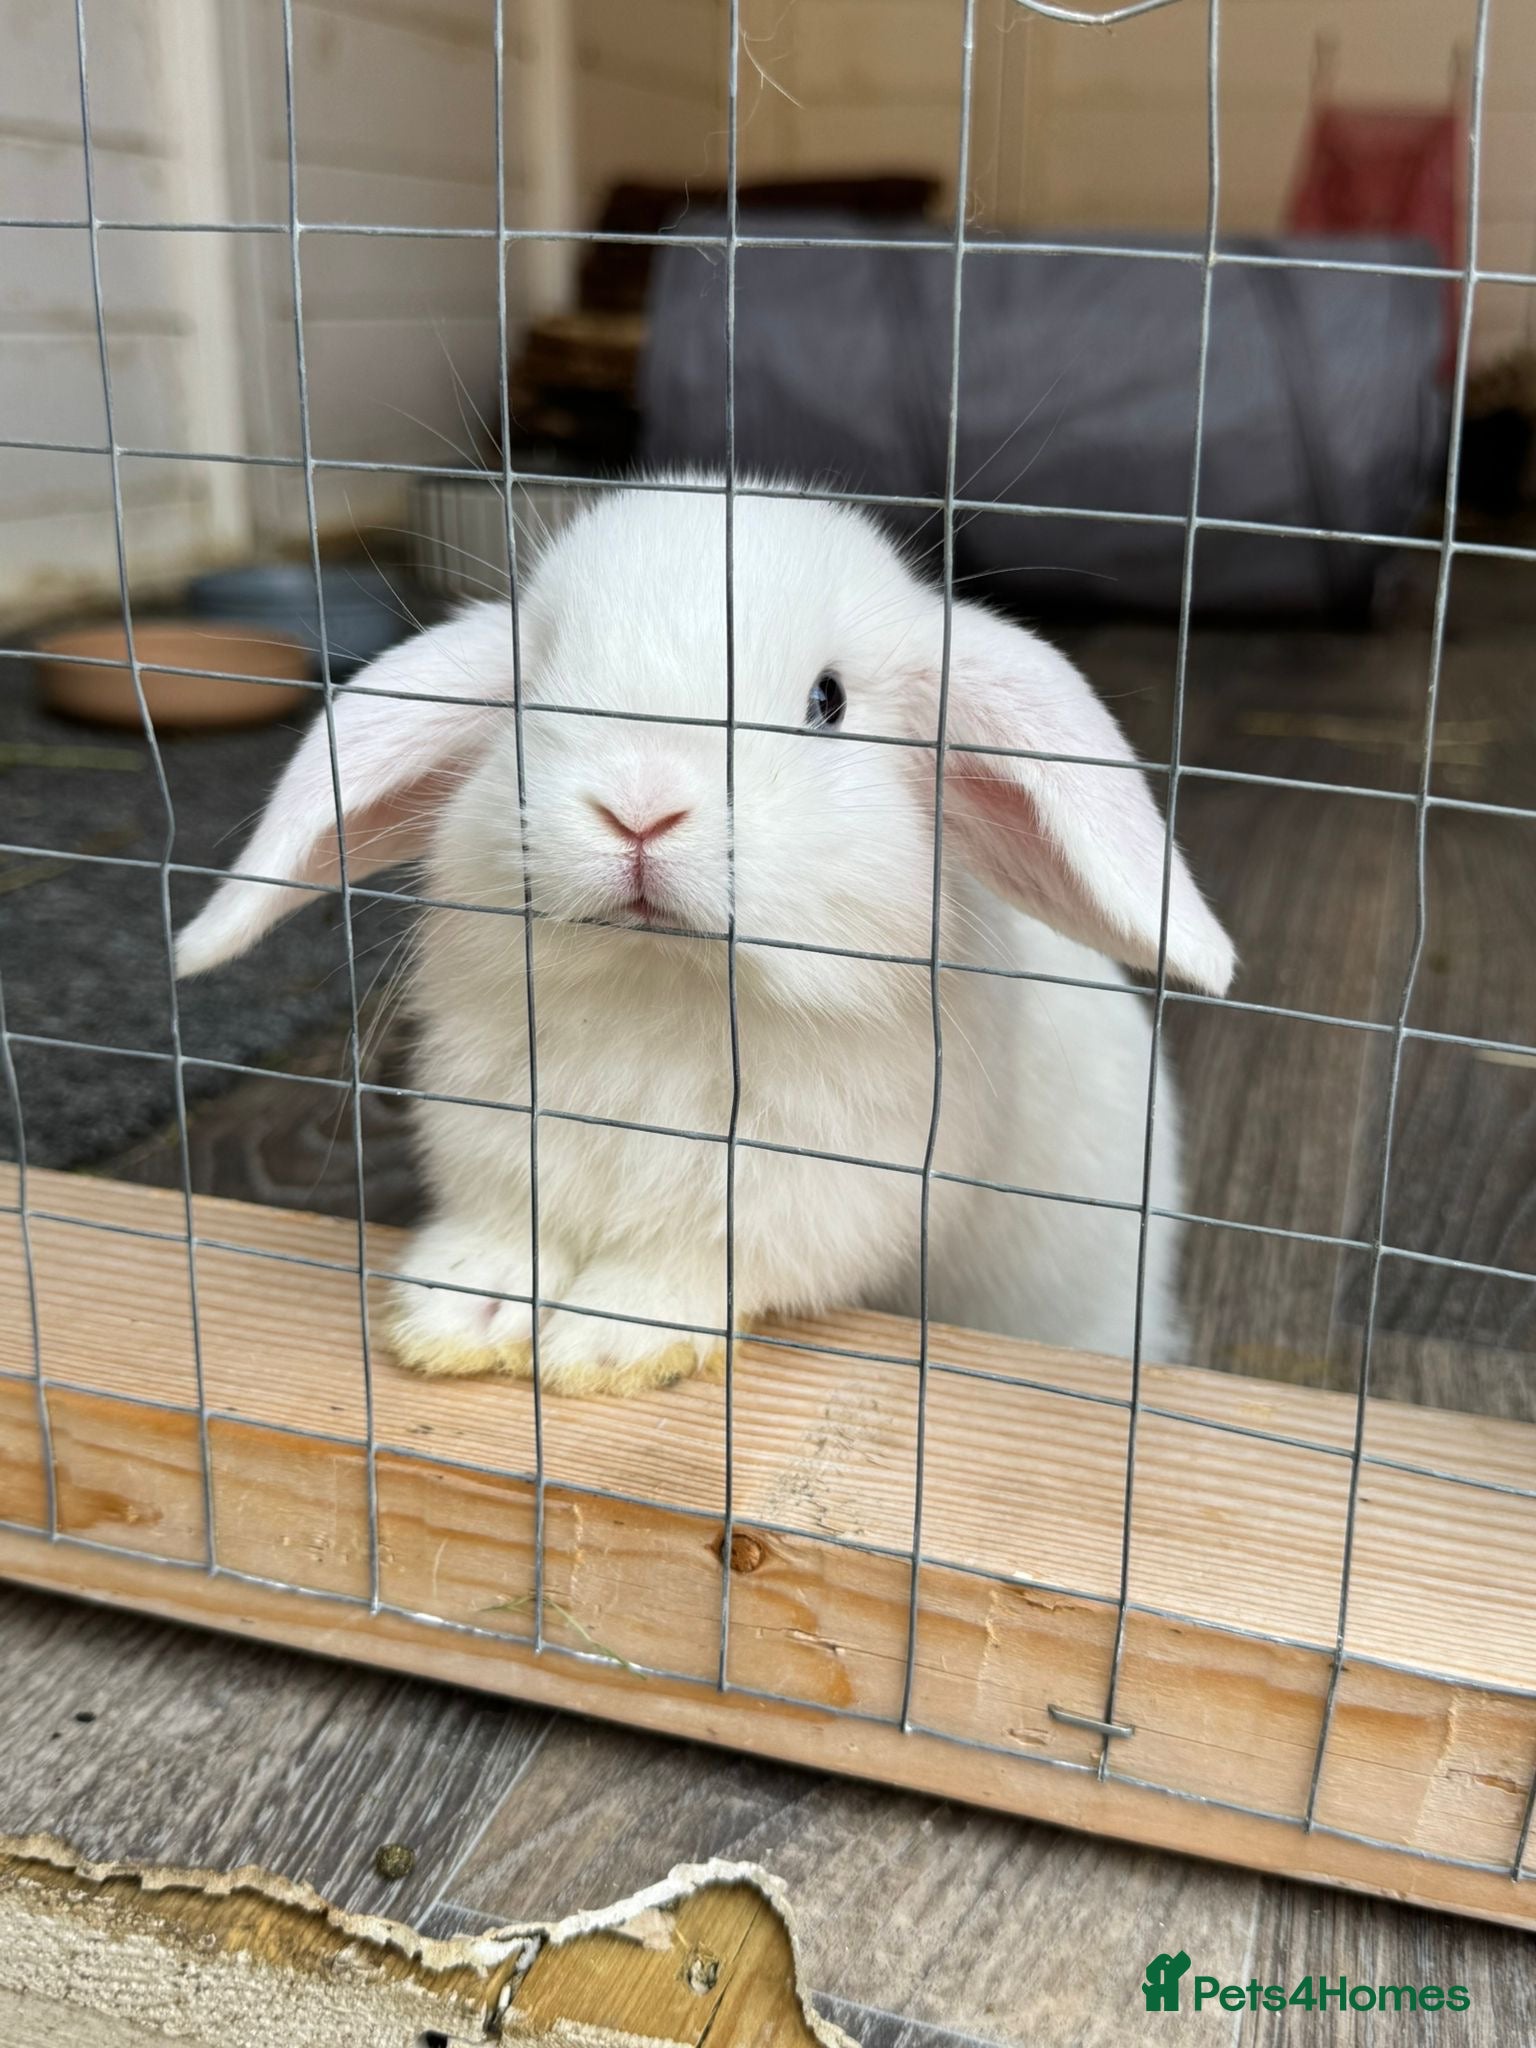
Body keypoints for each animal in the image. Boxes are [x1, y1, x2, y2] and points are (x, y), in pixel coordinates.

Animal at [177, 481, 1235, 1396]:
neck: (661, 982)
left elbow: (704, 1257)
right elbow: (512, 1228)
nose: (639, 808)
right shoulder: (500, 1129)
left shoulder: (824, 1183)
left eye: (826, 702)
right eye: (535, 685)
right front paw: (458, 1316)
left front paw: (607, 1345)